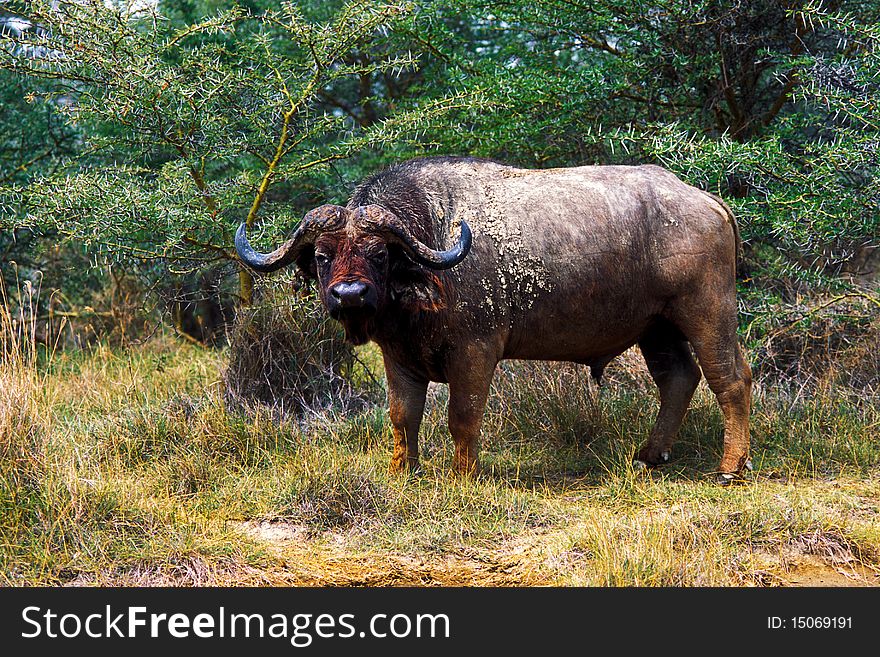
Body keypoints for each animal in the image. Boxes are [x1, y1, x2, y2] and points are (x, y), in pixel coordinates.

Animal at [237, 156, 752, 480]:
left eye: (379, 254)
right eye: (322, 256)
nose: (349, 295)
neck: (433, 242)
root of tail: (707, 201)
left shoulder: (475, 352)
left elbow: (462, 416)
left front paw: (462, 475)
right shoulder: (398, 357)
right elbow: (403, 416)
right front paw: (404, 470)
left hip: (707, 311)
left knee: (730, 379)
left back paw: (730, 467)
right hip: (656, 328)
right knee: (678, 378)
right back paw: (650, 455)